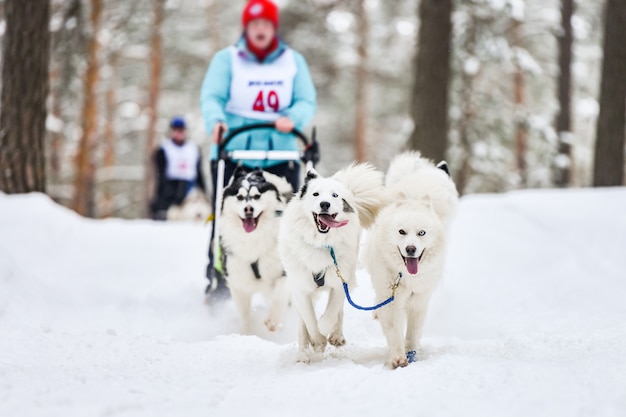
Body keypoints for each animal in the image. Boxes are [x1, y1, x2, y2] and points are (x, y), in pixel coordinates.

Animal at [219, 167, 292, 334]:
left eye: (257, 196)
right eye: (239, 197)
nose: (248, 209)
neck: (254, 239)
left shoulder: (283, 271)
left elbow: (279, 296)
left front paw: (273, 321)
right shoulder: (237, 279)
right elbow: (244, 313)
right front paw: (247, 334)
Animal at [276, 163, 382, 360]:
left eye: (335, 196)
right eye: (316, 194)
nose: (324, 204)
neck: (321, 244)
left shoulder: (340, 281)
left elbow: (331, 313)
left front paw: (323, 332)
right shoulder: (300, 287)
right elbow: (309, 319)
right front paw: (316, 340)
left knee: (338, 312)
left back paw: (336, 337)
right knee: (303, 322)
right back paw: (303, 353)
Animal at [364, 152, 456, 368]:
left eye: (421, 233)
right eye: (402, 232)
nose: (411, 249)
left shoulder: (420, 300)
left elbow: (413, 332)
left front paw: (411, 353)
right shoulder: (392, 298)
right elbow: (394, 330)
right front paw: (397, 357)